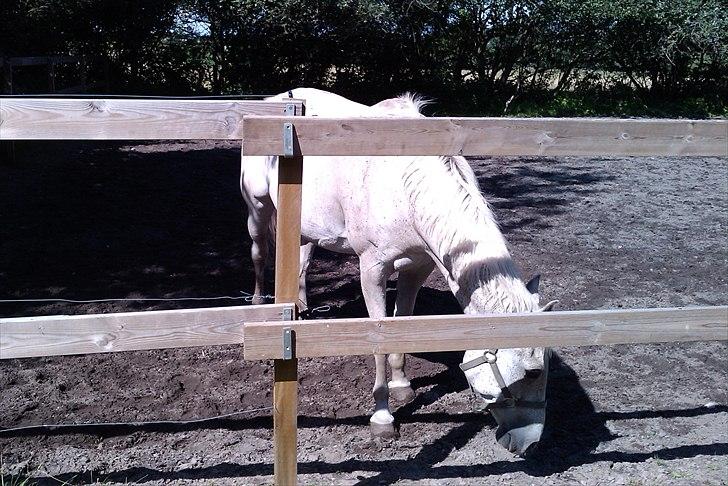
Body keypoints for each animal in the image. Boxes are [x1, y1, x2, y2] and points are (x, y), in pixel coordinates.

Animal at [245, 87, 556, 456]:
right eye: (533, 372)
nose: (530, 444)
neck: (404, 182)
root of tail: (277, 100)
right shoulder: (372, 270)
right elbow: (379, 340)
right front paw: (382, 418)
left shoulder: (416, 269)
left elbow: (402, 325)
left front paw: (402, 386)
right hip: (258, 209)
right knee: (260, 254)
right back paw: (259, 303)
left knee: (302, 263)